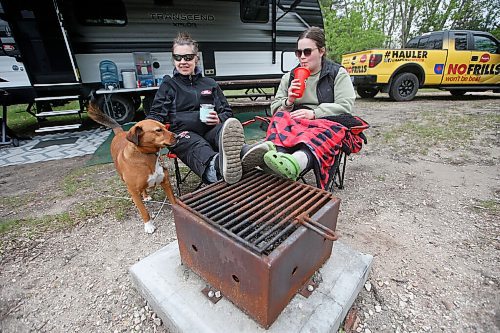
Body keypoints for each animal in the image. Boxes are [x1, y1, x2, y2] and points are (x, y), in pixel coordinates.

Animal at [87, 101, 177, 233]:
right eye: (158, 130)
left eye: (166, 127)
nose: (178, 136)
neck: (147, 156)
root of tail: (120, 132)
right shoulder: (134, 191)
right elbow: (144, 211)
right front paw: (149, 225)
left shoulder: (165, 182)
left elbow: (173, 201)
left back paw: (146, 195)